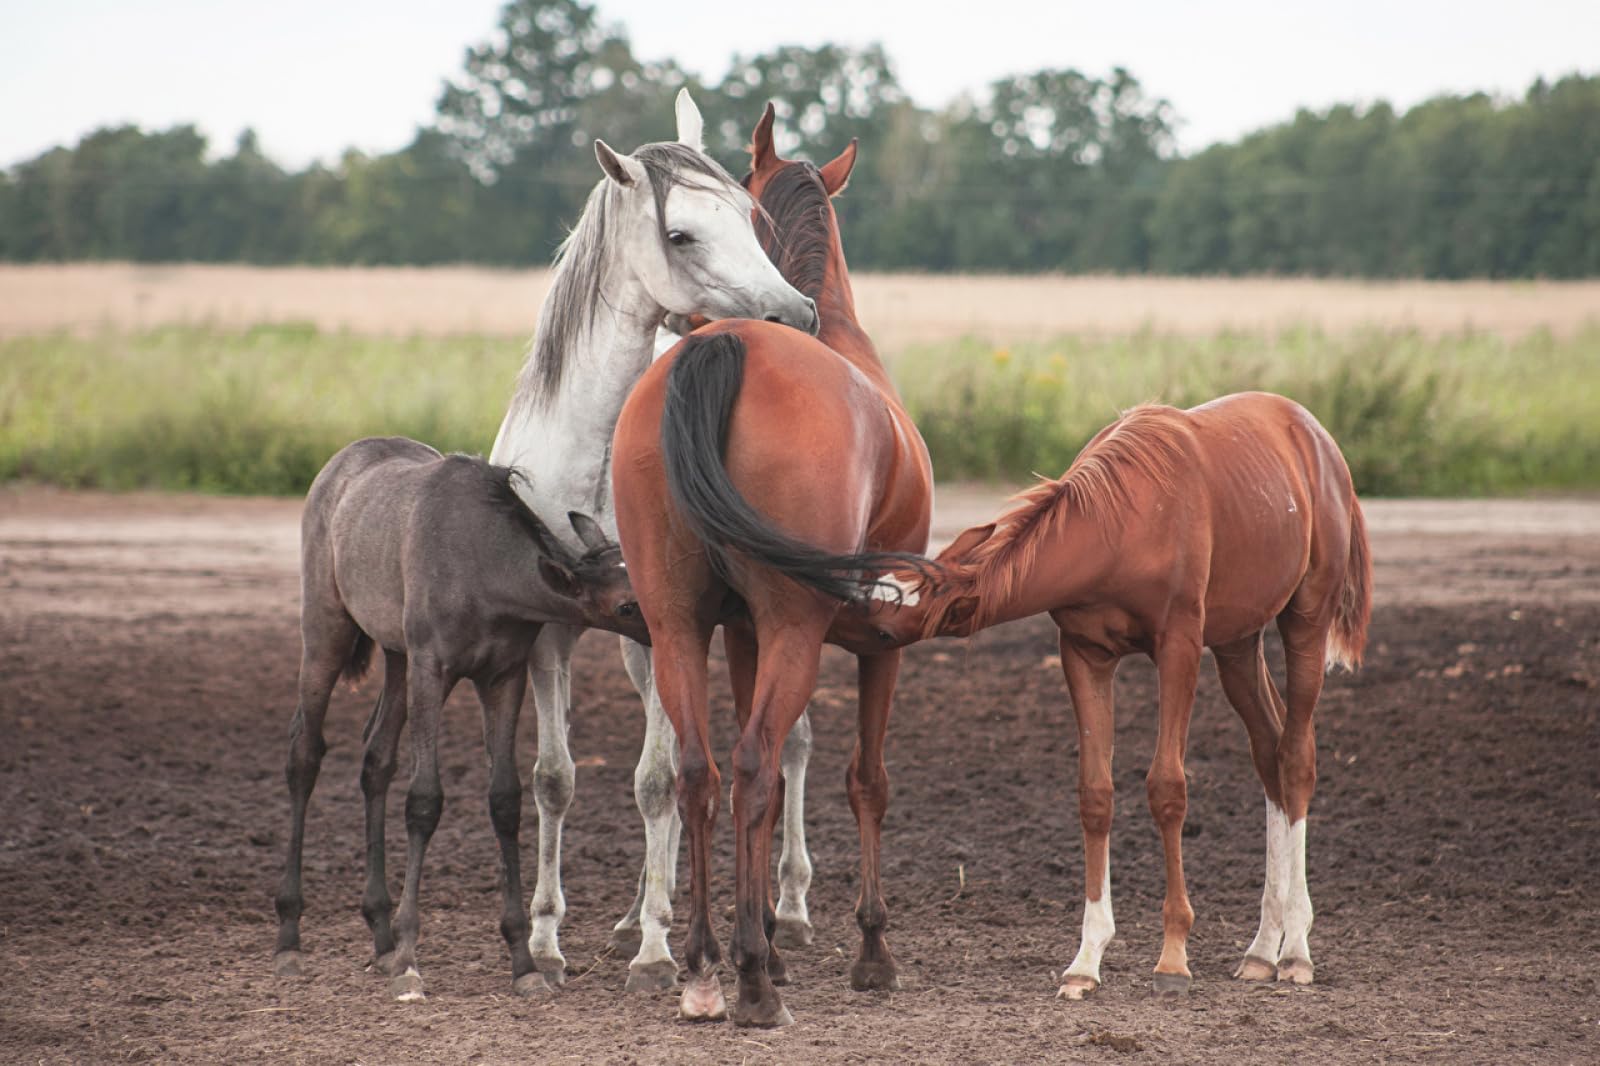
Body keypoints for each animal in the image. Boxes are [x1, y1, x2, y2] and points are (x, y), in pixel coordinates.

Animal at [272, 437, 649, 1002]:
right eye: (626, 606)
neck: (484, 569)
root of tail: (338, 464)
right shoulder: (433, 668)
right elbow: (425, 800)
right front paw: (410, 959)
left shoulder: (502, 676)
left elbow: (506, 800)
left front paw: (523, 961)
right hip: (326, 627)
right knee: (305, 752)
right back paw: (292, 935)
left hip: (395, 654)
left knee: (376, 757)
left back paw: (379, 934)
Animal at [487, 91, 818, 994]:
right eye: (681, 234)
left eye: (750, 216)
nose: (797, 316)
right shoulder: (551, 630)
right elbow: (557, 780)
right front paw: (547, 940)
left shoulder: (667, 622)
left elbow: (661, 780)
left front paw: (660, 948)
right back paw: (635, 911)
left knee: (785, 747)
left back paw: (781, 909)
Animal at [610, 107, 935, 1027]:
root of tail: (720, 349)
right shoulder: (880, 646)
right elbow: (868, 780)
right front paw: (871, 950)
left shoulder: (742, 634)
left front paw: (760, 932)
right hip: (797, 628)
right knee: (752, 767)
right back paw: (751, 980)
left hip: (677, 624)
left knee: (699, 771)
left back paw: (703, 962)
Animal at [836, 391, 1373, 998]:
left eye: (885, 627)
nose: (834, 617)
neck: (1126, 520)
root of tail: (1315, 436)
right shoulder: (1084, 654)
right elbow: (1095, 795)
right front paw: (1086, 960)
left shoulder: (1179, 648)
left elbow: (1167, 788)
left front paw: (1172, 957)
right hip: (1237, 644)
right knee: (1270, 754)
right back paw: (1262, 948)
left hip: (1305, 620)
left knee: (1297, 757)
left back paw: (1297, 949)